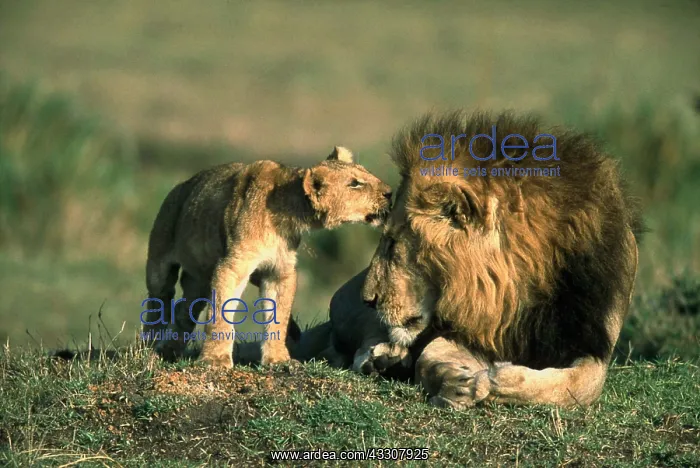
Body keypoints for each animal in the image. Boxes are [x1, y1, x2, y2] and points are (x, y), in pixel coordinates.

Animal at [142, 146, 392, 369]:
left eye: (365, 173)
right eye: (355, 183)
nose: (390, 192)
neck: (287, 213)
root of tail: (181, 186)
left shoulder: (280, 271)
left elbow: (277, 317)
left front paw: (278, 360)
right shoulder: (233, 265)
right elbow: (220, 313)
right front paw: (215, 360)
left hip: (200, 279)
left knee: (185, 309)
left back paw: (170, 349)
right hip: (160, 260)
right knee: (159, 299)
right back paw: (150, 346)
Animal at [297, 110, 643, 408]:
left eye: (393, 242)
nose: (368, 299)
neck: (523, 291)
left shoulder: (592, 342)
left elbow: (583, 384)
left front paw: (501, 380)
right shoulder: (471, 329)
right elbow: (432, 355)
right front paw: (458, 381)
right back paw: (381, 358)